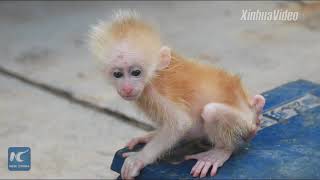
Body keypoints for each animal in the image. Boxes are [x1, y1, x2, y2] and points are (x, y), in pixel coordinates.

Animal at [88, 10, 264, 180]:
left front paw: (139, 159)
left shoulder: (158, 92)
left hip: (244, 123)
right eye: (117, 74)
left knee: (211, 111)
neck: (152, 77)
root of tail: (250, 108)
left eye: (136, 72)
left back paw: (221, 152)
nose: (127, 88)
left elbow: (180, 123)